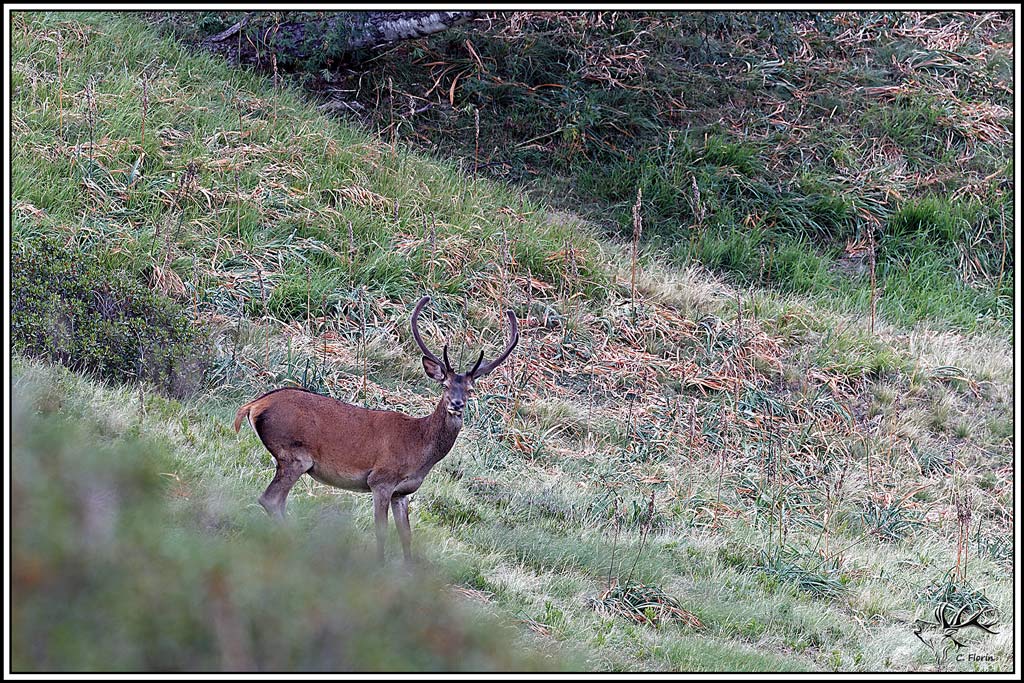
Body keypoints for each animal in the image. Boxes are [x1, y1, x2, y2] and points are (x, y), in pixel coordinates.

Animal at [233, 295, 519, 562]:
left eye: (470, 389)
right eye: (445, 385)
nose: (457, 404)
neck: (420, 449)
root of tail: (254, 405)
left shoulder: (402, 493)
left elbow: (406, 536)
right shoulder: (381, 479)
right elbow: (381, 530)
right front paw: (380, 566)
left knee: (278, 501)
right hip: (295, 454)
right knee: (270, 499)